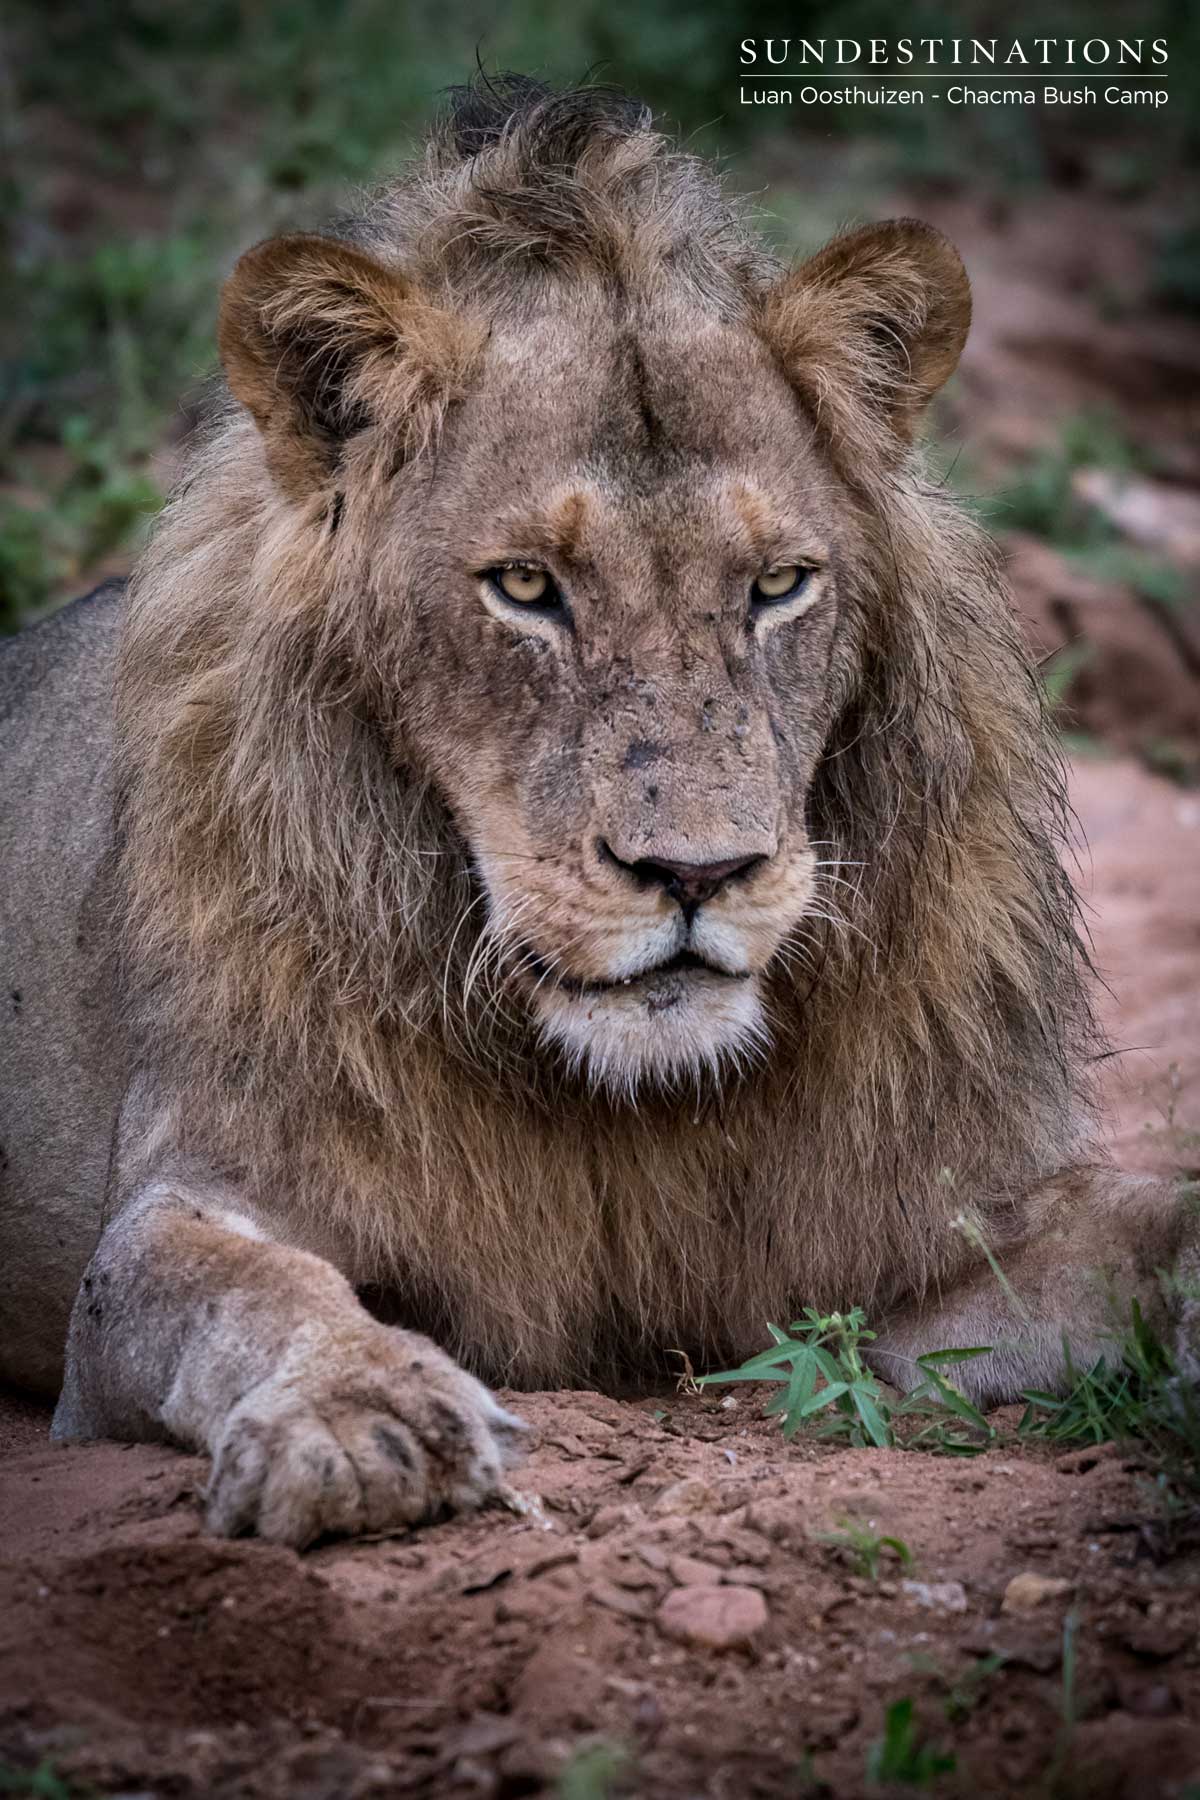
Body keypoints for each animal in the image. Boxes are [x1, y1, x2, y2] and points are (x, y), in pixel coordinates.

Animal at [0, 77, 1192, 1548]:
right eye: (525, 586)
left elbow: (1158, 1229)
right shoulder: (187, 1210)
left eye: (778, 585)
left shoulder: (922, 1250)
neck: (620, 1105)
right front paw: (358, 1415)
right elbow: (241, 1288)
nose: (698, 872)